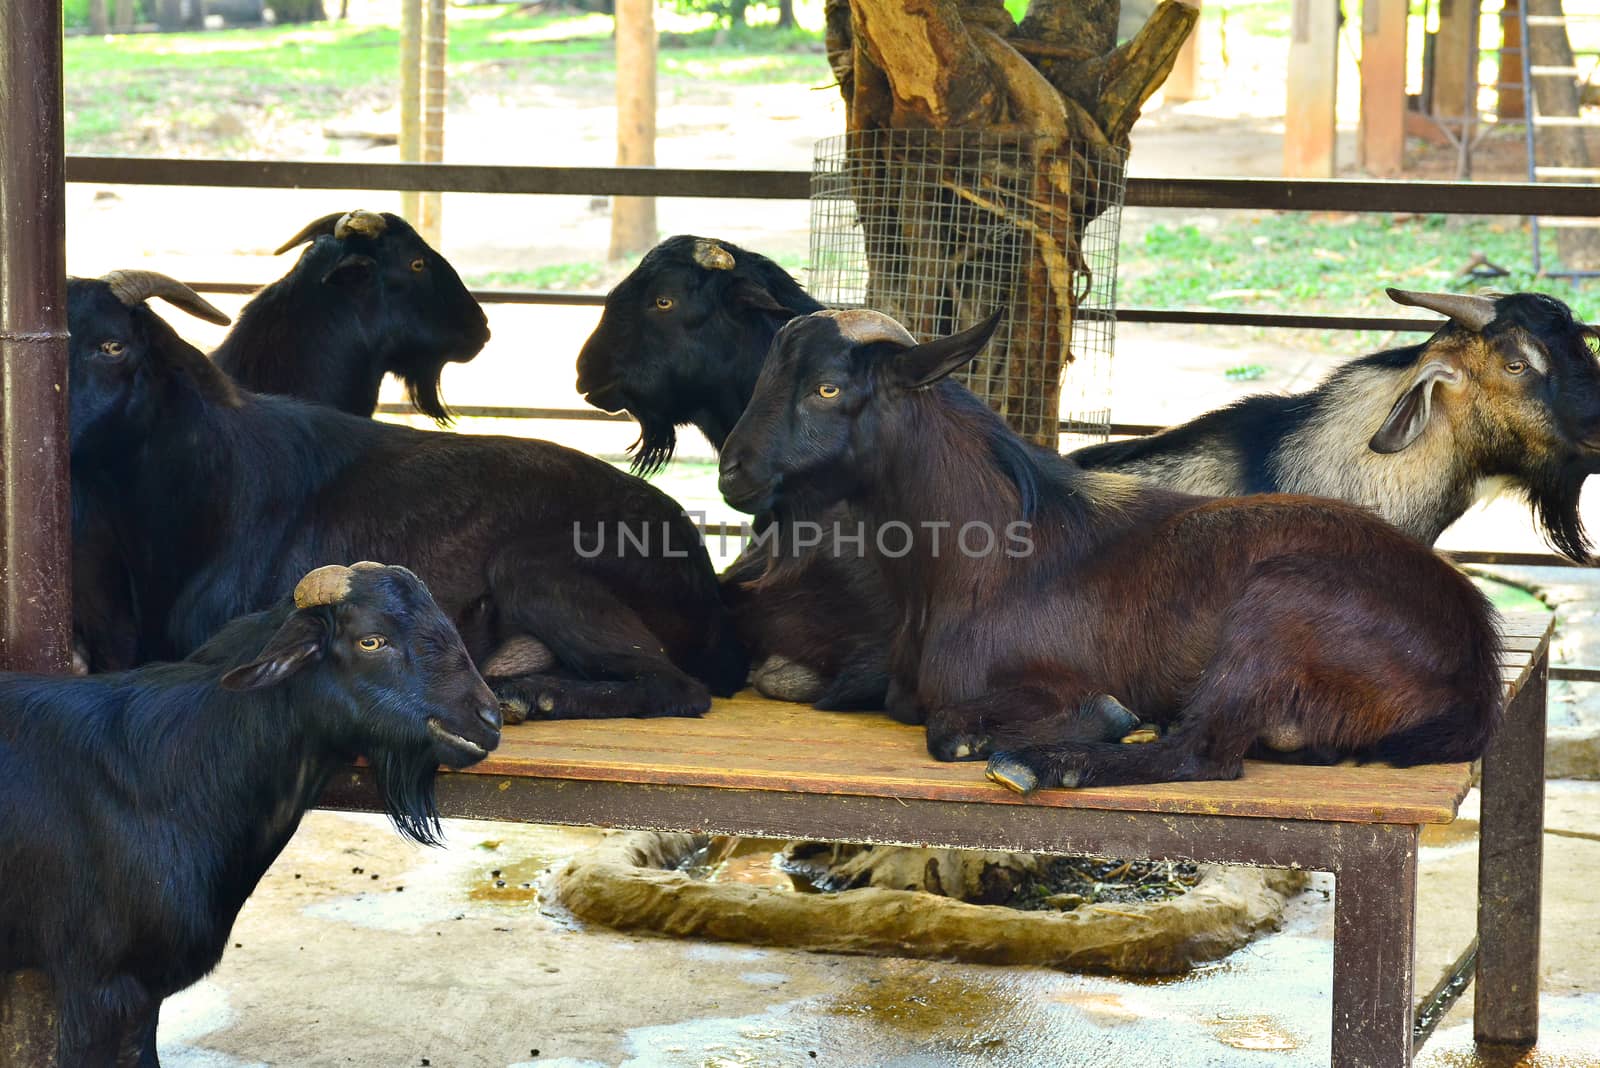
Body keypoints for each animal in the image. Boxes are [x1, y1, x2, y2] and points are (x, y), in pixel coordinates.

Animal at [720, 308, 1504, 793]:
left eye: (827, 388)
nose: (732, 472)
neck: (985, 552)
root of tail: (1472, 651)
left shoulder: (1037, 679)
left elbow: (946, 727)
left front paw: (1102, 717)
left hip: (1280, 609)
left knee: (1202, 755)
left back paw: (1050, 763)